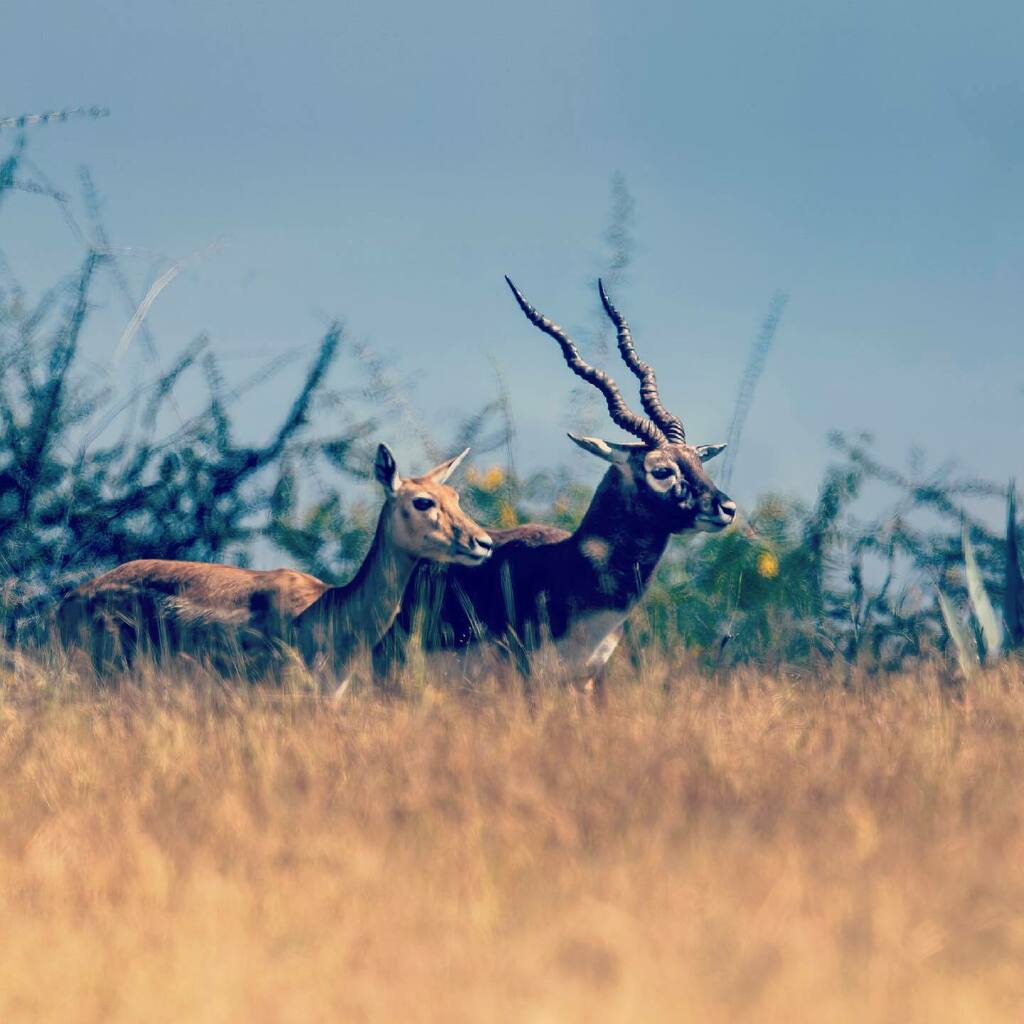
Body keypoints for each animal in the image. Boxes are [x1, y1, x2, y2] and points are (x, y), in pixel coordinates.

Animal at [373, 278, 737, 693]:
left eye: (697, 461)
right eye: (661, 470)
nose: (726, 508)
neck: (568, 566)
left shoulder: (585, 677)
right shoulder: (531, 673)